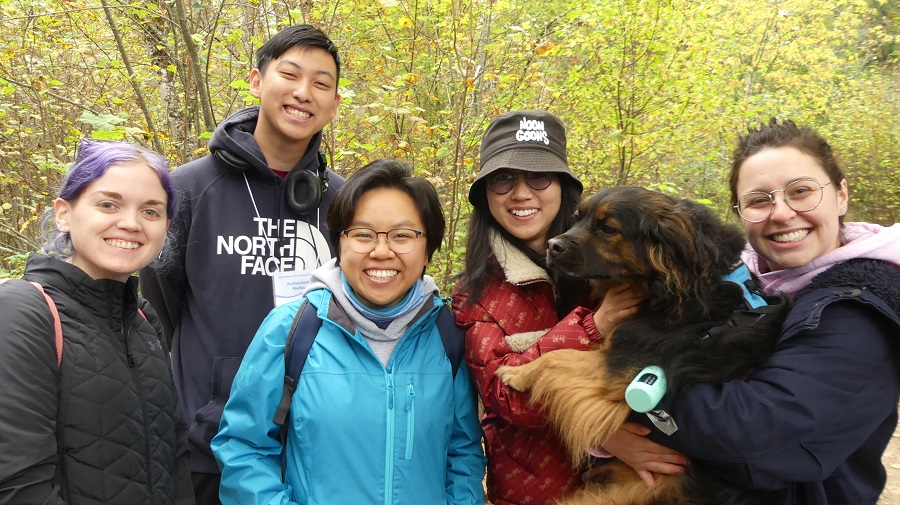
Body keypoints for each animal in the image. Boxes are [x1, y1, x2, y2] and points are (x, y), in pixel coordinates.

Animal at [500, 185, 788, 504]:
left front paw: (518, 373)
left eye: (608, 228)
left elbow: (558, 356)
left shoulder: (620, 367)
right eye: (578, 217)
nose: (552, 246)